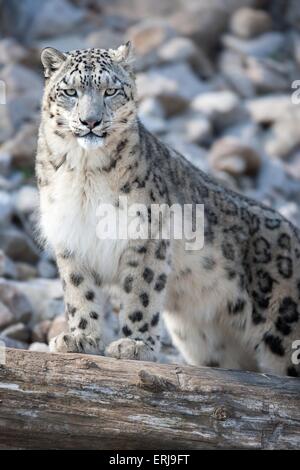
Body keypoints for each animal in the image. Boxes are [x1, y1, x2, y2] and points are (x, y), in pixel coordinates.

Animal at [36, 43, 300, 374]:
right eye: (70, 91)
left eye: (110, 91)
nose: (90, 121)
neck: (83, 172)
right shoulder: (71, 238)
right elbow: (79, 292)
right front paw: (80, 338)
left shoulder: (147, 237)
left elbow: (141, 292)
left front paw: (134, 345)